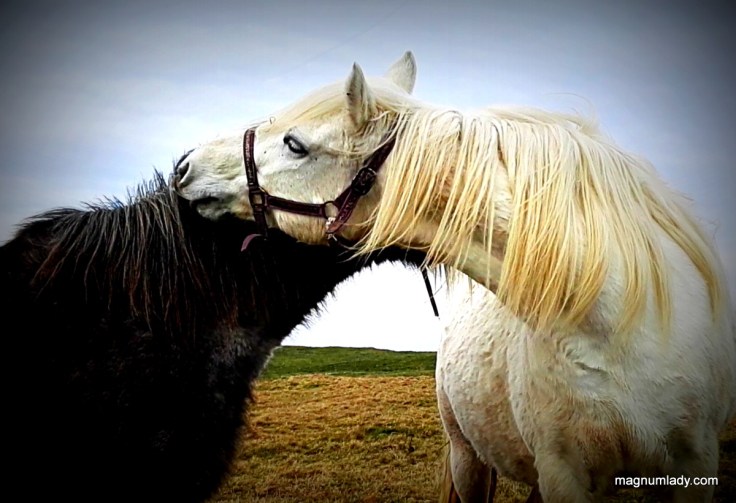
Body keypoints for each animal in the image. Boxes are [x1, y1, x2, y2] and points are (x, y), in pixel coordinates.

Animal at [172, 51, 736, 501]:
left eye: (294, 143)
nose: (184, 166)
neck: (617, 326)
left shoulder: (692, 468)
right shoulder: (563, 474)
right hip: (469, 457)